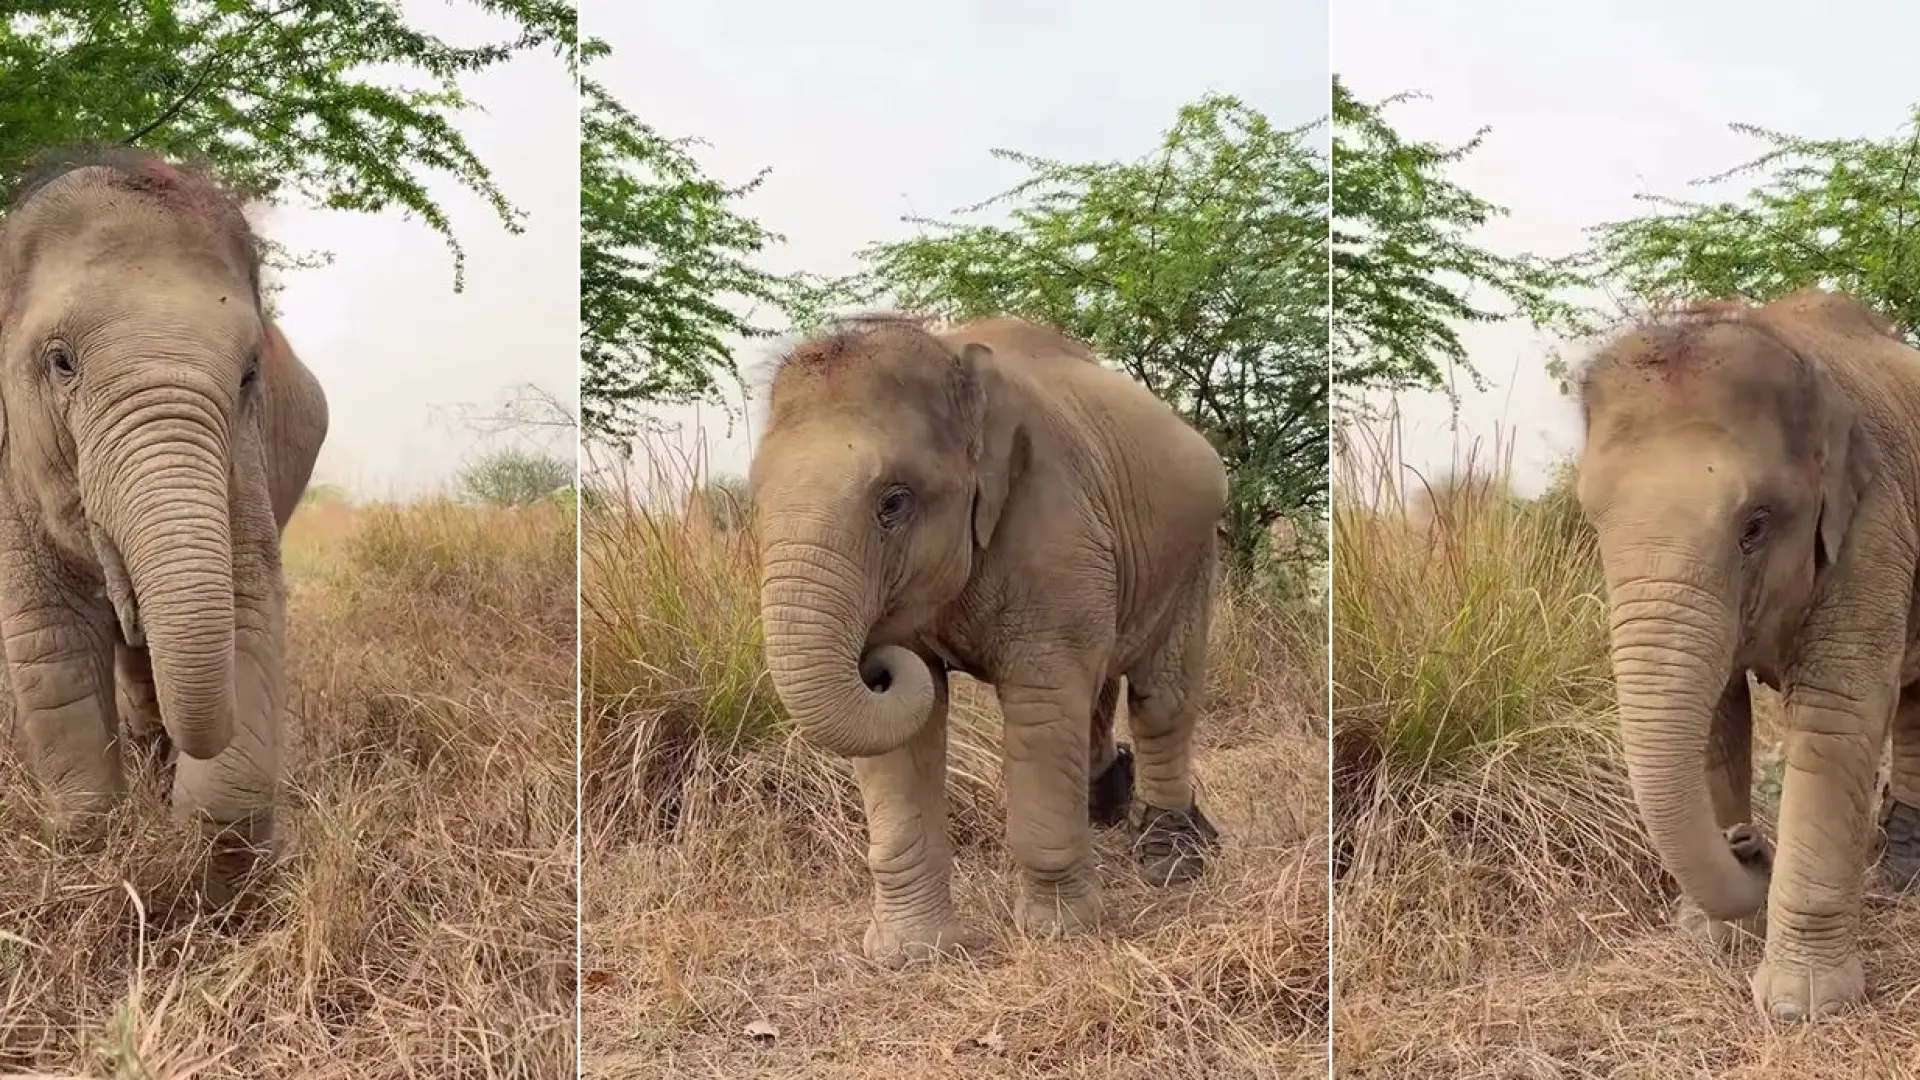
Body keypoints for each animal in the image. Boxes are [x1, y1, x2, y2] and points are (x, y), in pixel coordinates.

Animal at [0, 148, 327, 903]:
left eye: (249, 374)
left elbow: (244, 604)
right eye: (60, 362)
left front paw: (219, 888)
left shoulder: (243, 458)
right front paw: (89, 860)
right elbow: (49, 631)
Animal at [748, 312, 1229, 965]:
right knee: (1099, 690)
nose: (874, 665)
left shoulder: (1054, 530)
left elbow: (1043, 705)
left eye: (893, 503)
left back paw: (1172, 858)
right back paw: (1108, 807)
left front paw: (1061, 932)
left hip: (1191, 550)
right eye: (754, 504)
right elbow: (903, 741)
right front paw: (910, 956)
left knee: (1161, 698)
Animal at [1573, 287, 1920, 1022]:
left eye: (1754, 528)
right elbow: (1715, 718)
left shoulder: (1878, 521)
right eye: (1591, 519)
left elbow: (1837, 714)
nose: (1747, 844)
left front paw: (1800, 1007)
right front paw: (1711, 936)